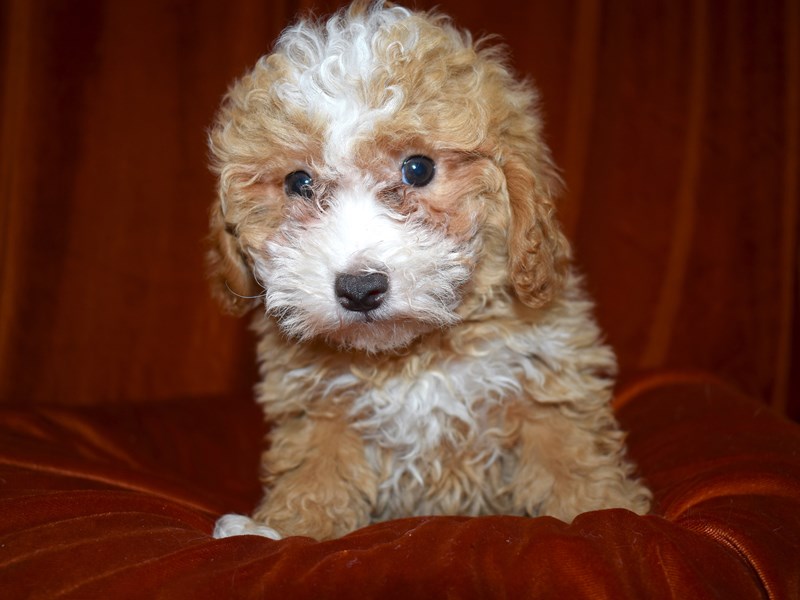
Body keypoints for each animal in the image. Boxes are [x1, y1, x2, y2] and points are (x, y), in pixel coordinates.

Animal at [208, 0, 648, 540]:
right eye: (299, 183)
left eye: (418, 169)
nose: (360, 288)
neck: (413, 354)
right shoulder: (320, 408)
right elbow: (317, 472)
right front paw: (281, 530)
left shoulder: (546, 383)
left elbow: (573, 462)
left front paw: (607, 514)